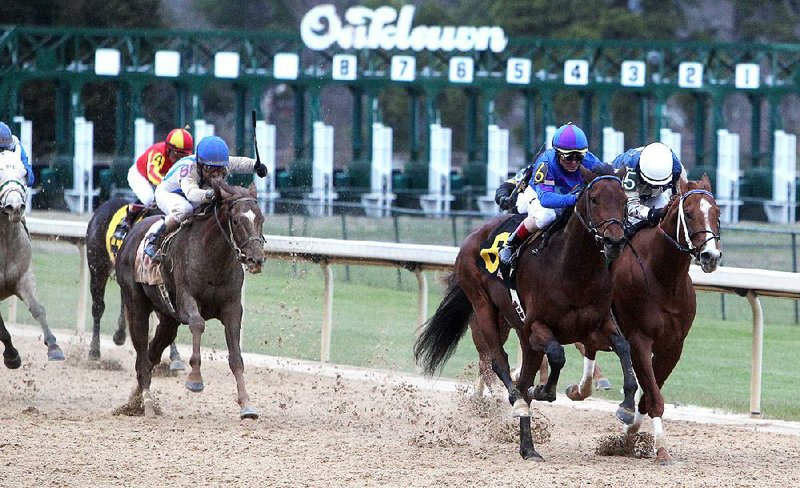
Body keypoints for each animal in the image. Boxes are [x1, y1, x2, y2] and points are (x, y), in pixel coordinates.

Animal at [0, 154, 65, 364]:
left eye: (24, 173)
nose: (14, 207)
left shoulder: (24, 277)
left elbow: (38, 309)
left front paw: (54, 347)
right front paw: (12, 356)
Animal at [115, 181, 266, 418]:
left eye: (261, 218)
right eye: (235, 220)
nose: (256, 259)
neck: (213, 259)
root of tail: (131, 234)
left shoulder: (232, 308)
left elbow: (236, 358)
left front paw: (247, 405)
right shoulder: (186, 300)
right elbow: (197, 323)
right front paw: (195, 379)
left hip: (168, 319)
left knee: (151, 354)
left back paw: (135, 400)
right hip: (136, 304)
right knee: (141, 356)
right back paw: (147, 404)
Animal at [416, 165, 628, 462]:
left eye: (625, 200)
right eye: (595, 199)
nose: (614, 241)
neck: (574, 271)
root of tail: (475, 234)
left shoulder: (594, 328)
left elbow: (624, 348)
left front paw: (627, 405)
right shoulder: (537, 327)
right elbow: (557, 355)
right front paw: (544, 390)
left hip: (521, 333)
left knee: (521, 374)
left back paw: (528, 446)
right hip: (484, 308)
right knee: (498, 362)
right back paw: (517, 401)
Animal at [612, 173, 724, 464]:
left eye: (717, 213)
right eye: (689, 213)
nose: (711, 256)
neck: (663, 278)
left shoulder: (673, 345)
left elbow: (650, 392)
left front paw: (628, 437)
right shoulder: (639, 339)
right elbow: (654, 396)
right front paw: (661, 449)